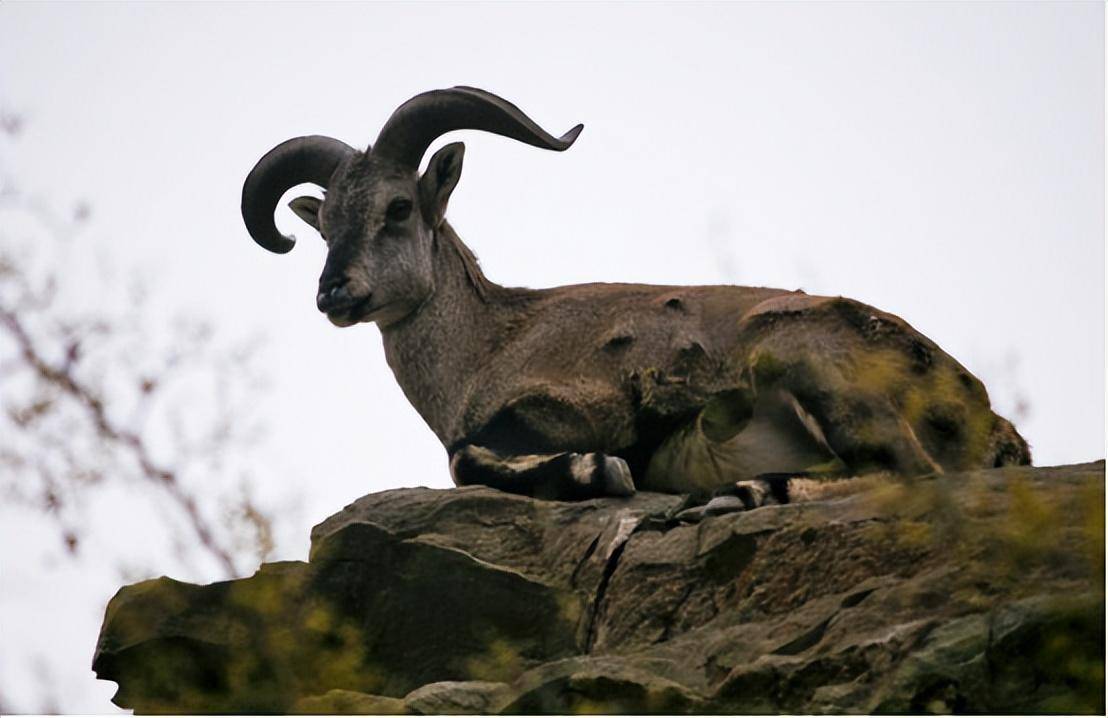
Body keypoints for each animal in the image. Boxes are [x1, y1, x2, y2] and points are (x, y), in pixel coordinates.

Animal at [242, 86, 1028, 503]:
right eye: (323, 225)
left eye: (399, 207)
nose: (334, 292)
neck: (487, 345)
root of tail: (989, 420)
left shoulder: (586, 405)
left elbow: (468, 459)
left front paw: (599, 471)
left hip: (806, 358)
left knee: (911, 474)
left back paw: (753, 491)